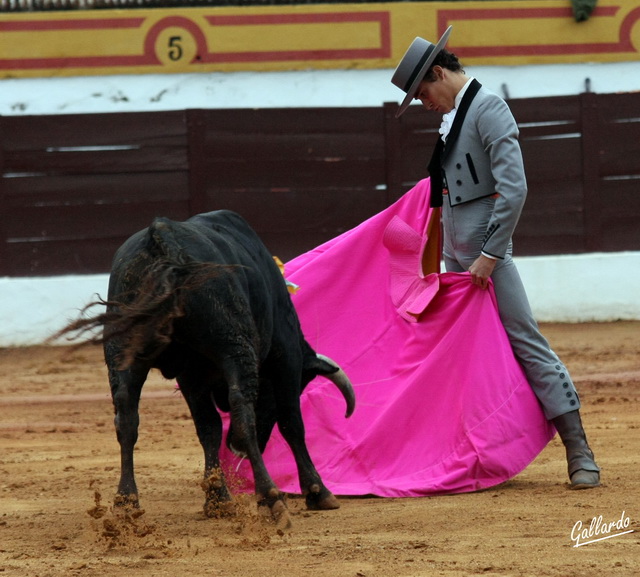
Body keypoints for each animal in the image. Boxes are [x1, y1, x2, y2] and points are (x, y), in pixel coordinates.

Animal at [56, 209, 356, 524]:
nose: (236, 449)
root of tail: (162, 236)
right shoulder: (286, 358)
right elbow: (291, 423)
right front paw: (317, 492)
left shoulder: (191, 376)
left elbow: (208, 428)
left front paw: (217, 499)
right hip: (234, 346)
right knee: (242, 411)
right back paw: (270, 498)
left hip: (123, 351)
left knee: (126, 417)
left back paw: (126, 502)